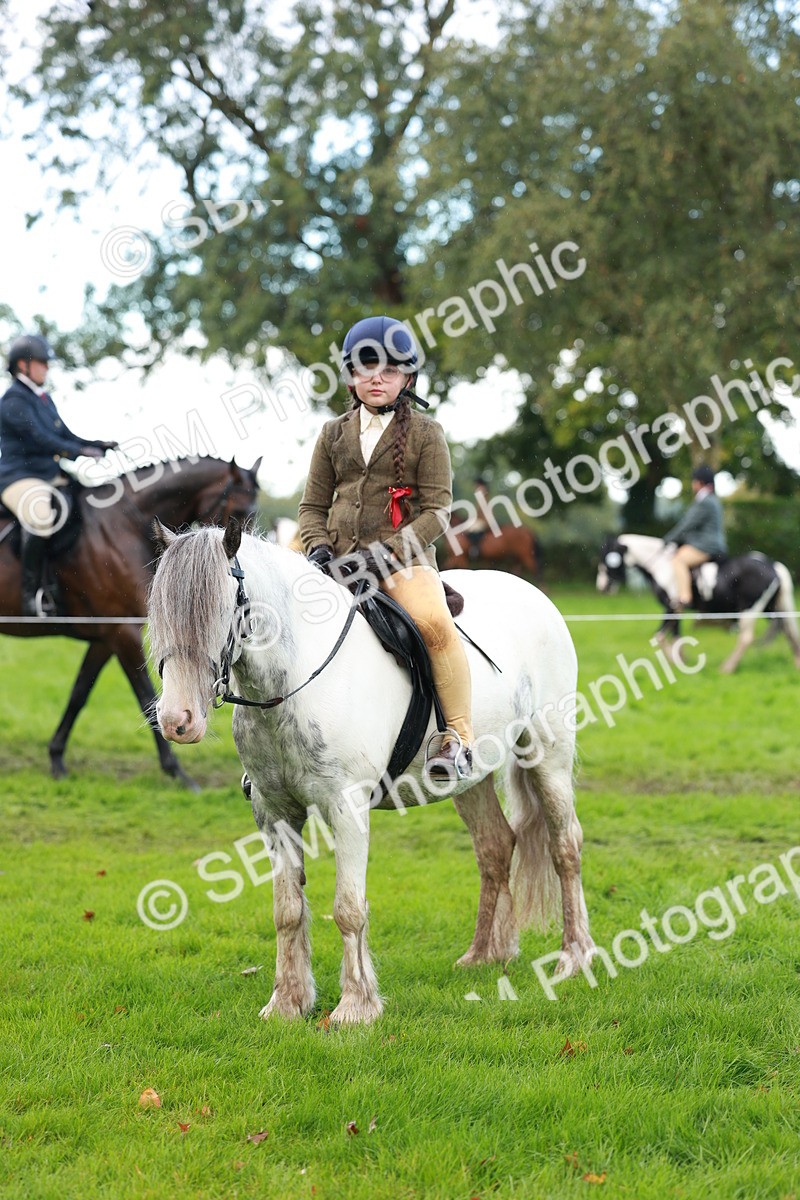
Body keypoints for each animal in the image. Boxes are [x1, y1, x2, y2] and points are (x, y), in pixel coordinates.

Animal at [0, 456, 260, 783]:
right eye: (238, 513)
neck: (123, 525)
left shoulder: (105, 638)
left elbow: (79, 693)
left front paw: (56, 757)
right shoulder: (123, 633)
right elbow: (146, 697)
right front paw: (176, 770)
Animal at [147, 517, 595, 1024]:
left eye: (221, 609)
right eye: (159, 612)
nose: (177, 720)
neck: (298, 678)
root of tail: (534, 595)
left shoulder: (347, 809)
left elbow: (348, 908)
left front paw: (356, 1007)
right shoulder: (273, 810)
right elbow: (287, 910)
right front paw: (287, 1003)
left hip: (548, 756)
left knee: (565, 846)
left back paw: (574, 957)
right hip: (471, 778)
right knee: (495, 847)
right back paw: (485, 954)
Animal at [597, 533, 800, 674]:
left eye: (609, 558)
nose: (602, 587)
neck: (661, 565)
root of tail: (773, 565)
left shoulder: (670, 606)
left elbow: (660, 636)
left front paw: (676, 661)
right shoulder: (676, 609)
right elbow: (675, 635)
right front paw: (682, 659)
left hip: (749, 610)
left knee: (746, 638)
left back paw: (727, 668)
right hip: (770, 609)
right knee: (788, 631)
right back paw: (796, 663)